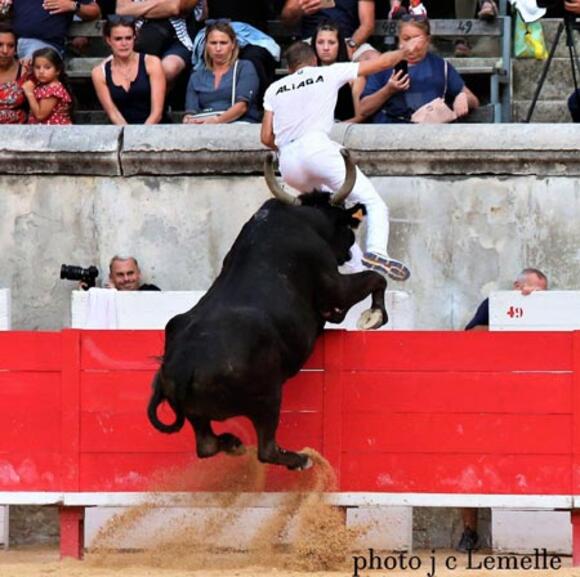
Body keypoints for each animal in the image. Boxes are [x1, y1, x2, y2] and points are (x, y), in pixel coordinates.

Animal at [147, 151, 388, 470]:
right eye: (346, 227)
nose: (348, 251)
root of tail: (185, 366)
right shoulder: (333, 286)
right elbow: (375, 279)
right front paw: (374, 317)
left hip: (200, 416)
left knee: (207, 445)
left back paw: (233, 444)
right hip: (268, 397)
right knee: (266, 449)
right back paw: (301, 459)